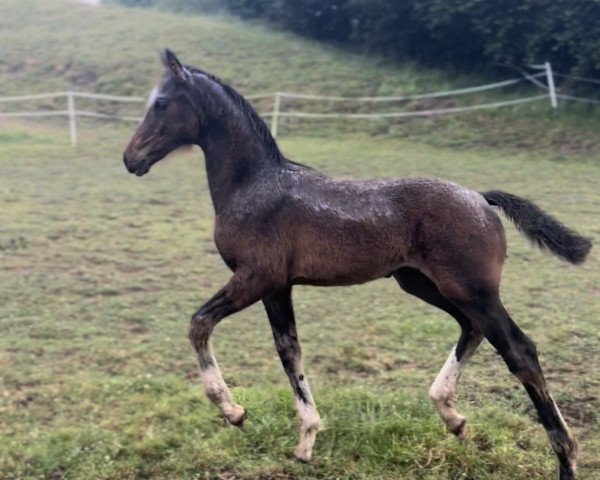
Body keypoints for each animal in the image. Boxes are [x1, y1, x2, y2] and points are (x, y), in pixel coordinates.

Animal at [123, 49, 592, 480]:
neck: (253, 184)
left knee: (520, 351)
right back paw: (452, 415)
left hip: (473, 290)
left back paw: (566, 458)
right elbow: (289, 350)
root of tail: (480, 197)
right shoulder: (277, 287)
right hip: (424, 284)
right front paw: (306, 438)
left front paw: (234, 411)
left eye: (161, 103)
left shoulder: (255, 277)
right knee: (472, 329)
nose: (130, 159)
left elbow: (199, 323)